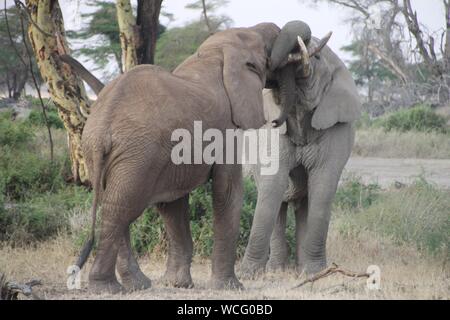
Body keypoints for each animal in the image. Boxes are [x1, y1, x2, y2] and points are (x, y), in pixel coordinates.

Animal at [63, 21, 282, 292]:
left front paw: (177, 284)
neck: (215, 52)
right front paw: (230, 287)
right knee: (122, 207)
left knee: (112, 204)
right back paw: (109, 289)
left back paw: (137, 286)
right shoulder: (225, 129)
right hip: (139, 154)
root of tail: (104, 122)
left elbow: (172, 204)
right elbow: (228, 190)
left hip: (104, 152)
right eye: (265, 52)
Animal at [239, 21, 362, 278]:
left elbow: (323, 189)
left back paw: (301, 269)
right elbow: (273, 186)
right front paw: (248, 275)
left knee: (305, 203)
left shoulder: (336, 128)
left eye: (317, 58)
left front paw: (315, 273)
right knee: (278, 198)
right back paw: (277, 270)